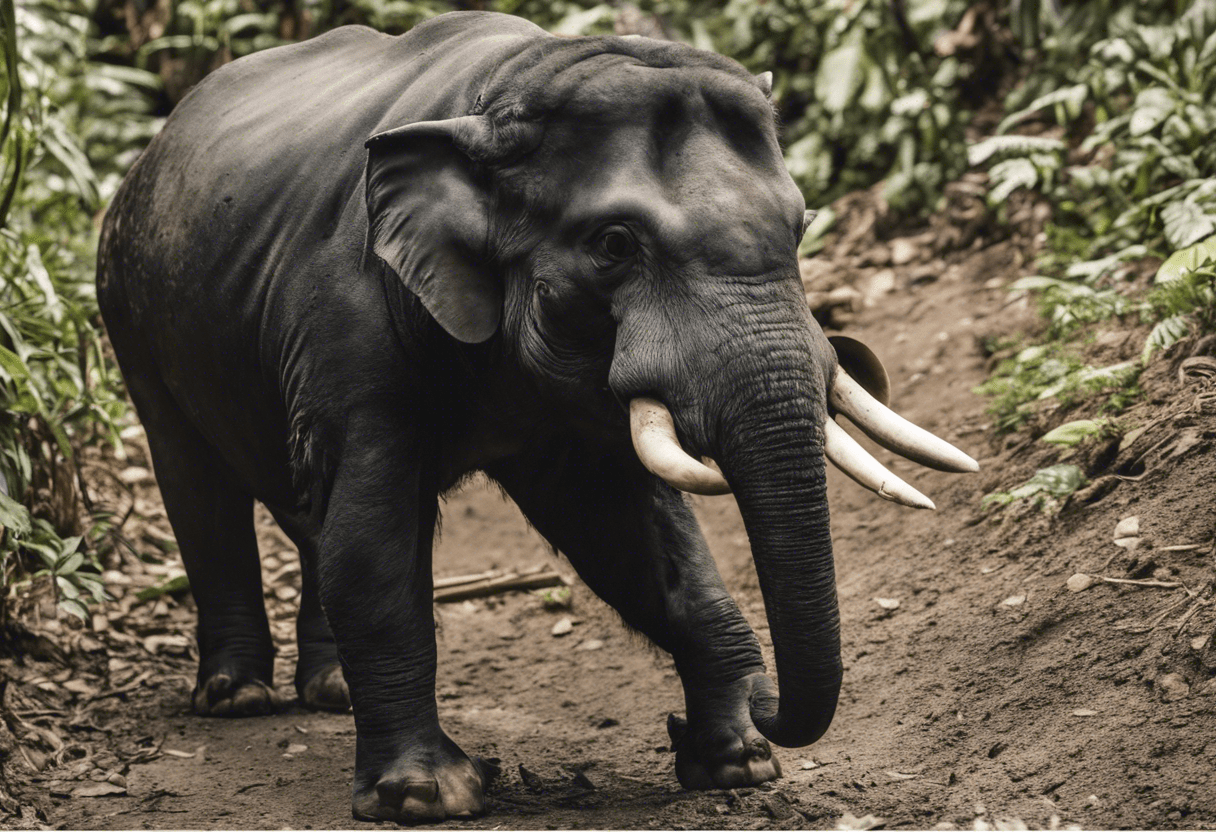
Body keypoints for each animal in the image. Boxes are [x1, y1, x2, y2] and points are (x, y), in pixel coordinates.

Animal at [94, 9, 972, 822]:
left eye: (801, 225)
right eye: (614, 243)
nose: (766, 702)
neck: (503, 91)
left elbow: (628, 534)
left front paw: (736, 762)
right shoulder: (349, 323)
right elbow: (373, 541)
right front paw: (428, 797)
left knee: (308, 506)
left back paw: (333, 691)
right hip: (128, 313)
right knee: (204, 493)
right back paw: (236, 697)